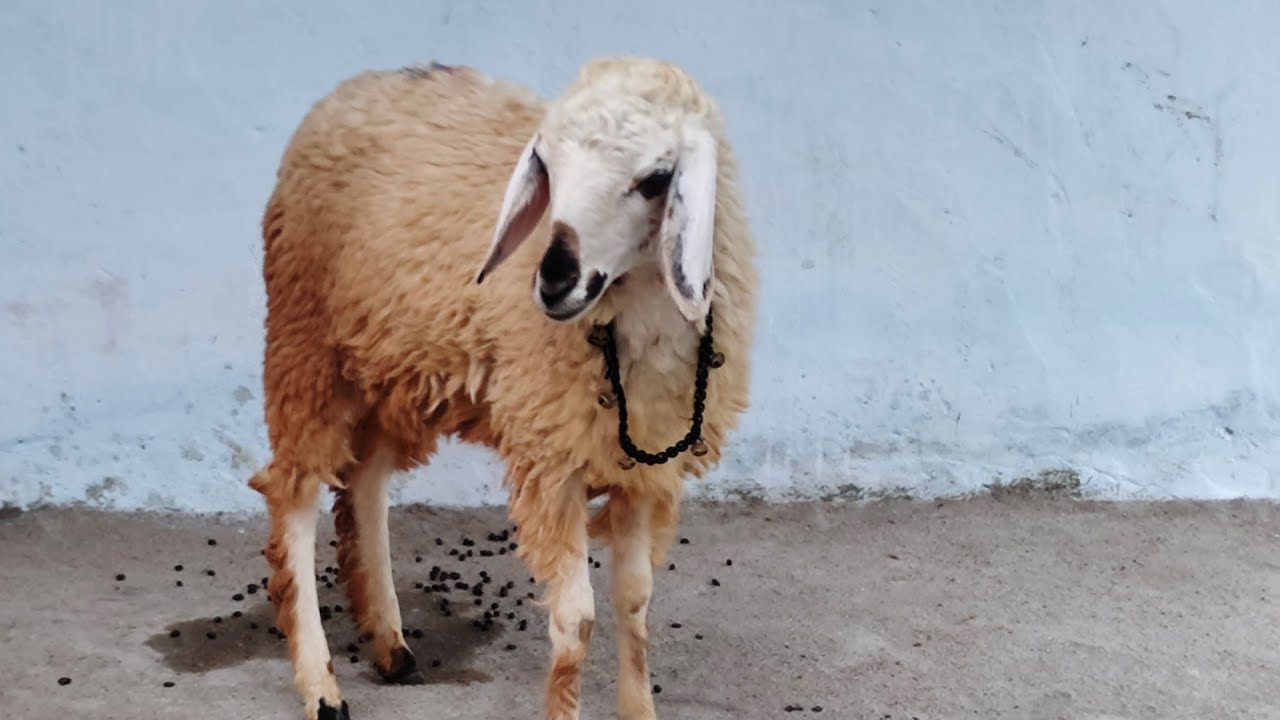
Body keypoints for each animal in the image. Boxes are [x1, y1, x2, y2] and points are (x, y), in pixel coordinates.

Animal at [248, 55, 759, 720]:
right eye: (548, 164)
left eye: (654, 179)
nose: (555, 281)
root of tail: (361, 84)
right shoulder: (553, 462)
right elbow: (577, 620)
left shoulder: (645, 468)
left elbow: (636, 600)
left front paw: (638, 709)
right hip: (307, 346)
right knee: (297, 497)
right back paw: (321, 686)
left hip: (395, 367)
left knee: (364, 483)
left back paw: (390, 643)